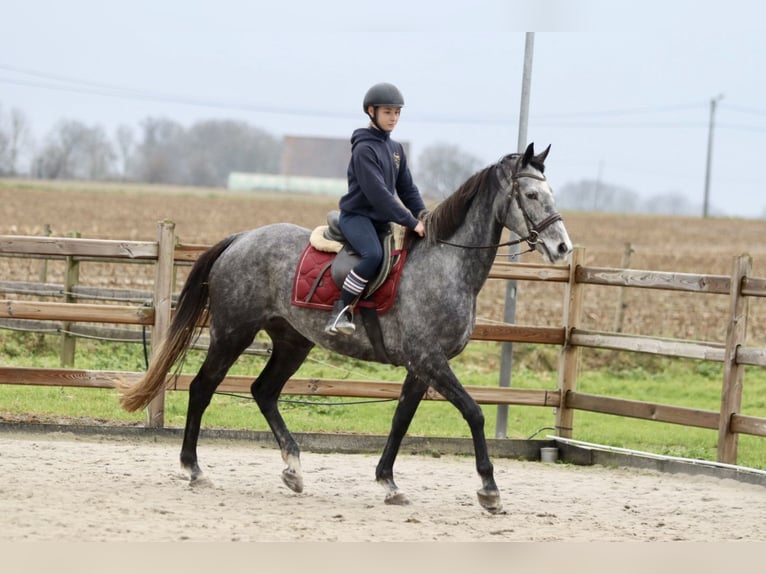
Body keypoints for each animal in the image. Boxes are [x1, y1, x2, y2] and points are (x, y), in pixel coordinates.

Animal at [120, 142, 572, 516]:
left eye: (551, 193)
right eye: (532, 195)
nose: (563, 248)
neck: (446, 265)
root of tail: (242, 238)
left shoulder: (421, 366)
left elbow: (401, 420)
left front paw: (389, 483)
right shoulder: (430, 360)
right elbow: (474, 413)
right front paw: (489, 490)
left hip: (292, 342)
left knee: (263, 391)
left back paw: (293, 469)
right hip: (233, 334)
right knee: (203, 388)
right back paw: (194, 469)